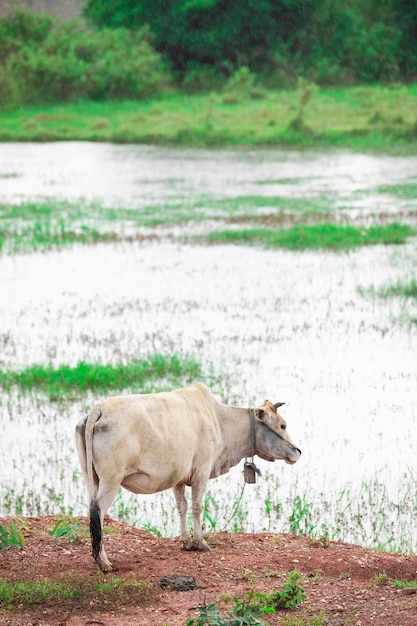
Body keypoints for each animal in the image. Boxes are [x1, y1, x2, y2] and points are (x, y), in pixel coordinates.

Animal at [75, 380, 300, 572]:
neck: (219, 420)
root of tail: (99, 409)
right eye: (283, 425)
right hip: (111, 481)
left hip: (91, 478)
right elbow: (197, 506)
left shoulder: (179, 477)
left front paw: (186, 542)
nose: (297, 452)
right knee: (98, 513)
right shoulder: (202, 471)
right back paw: (104, 562)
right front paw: (200, 543)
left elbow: (181, 506)